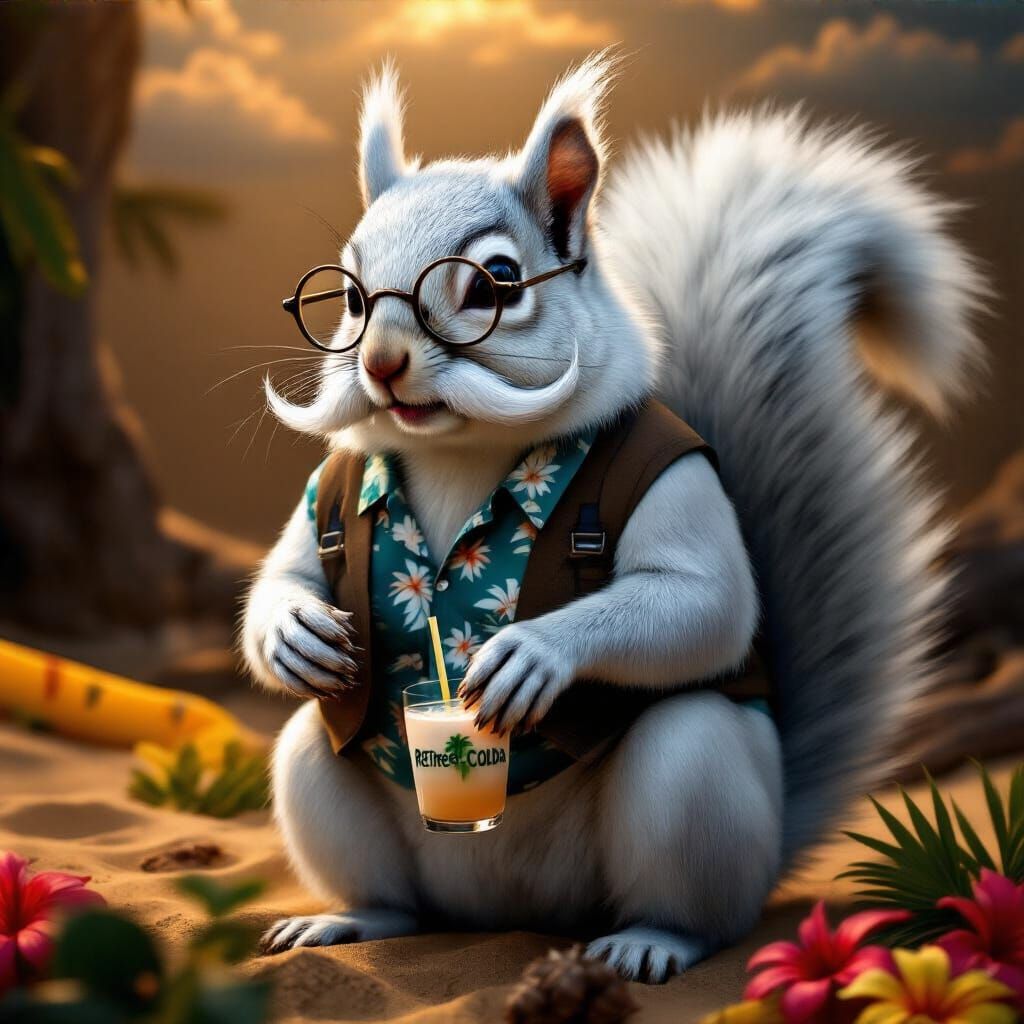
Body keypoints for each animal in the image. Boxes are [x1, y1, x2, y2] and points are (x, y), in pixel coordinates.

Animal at [241, 53, 984, 982]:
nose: (380, 363)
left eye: (495, 283)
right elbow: (286, 573)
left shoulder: (674, 472)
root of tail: (507, 916)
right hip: (324, 773)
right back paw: (350, 919)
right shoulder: (330, 487)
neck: (463, 452)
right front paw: (292, 633)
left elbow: (709, 601)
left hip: (692, 782)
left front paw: (532, 653)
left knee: (697, 893)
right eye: (345, 296)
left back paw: (650, 942)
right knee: (366, 844)